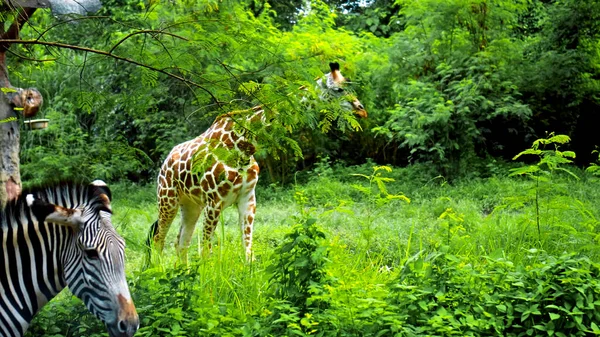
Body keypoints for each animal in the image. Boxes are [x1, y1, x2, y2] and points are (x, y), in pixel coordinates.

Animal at [148, 63, 368, 262]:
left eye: (349, 86)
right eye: (338, 89)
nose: (361, 109)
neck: (245, 144)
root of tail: (165, 162)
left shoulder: (248, 198)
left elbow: (248, 252)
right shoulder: (214, 200)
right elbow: (206, 253)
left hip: (191, 204)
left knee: (180, 243)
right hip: (168, 199)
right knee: (159, 240)